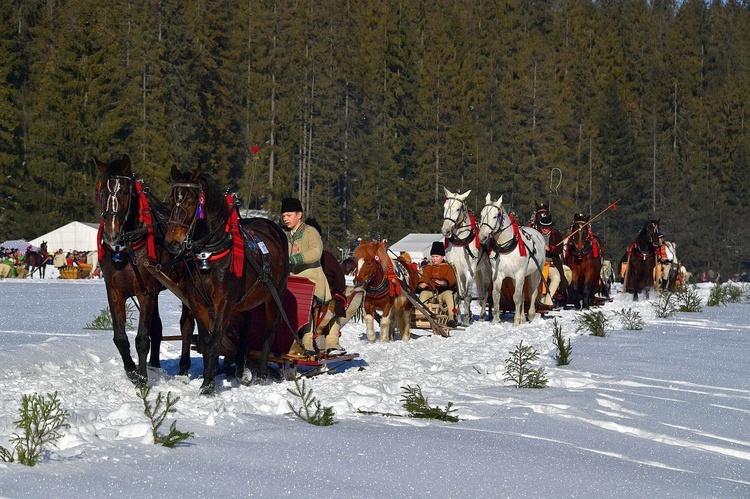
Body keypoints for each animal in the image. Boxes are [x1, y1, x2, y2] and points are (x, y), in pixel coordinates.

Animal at [94, 155, 194, 386]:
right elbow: (120, 337)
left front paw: (141, 377)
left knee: (187, 325)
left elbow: (142, 338)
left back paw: (183, 369)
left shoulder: (145, 291)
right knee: (157, 328)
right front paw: (132, 370)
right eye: (102, 192)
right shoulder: (115, 291)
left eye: (124, 191)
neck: (125, 249)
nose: (111, 234)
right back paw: (155, 365)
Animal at [166, 166, 290, 396]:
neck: (208, 255)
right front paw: (210, 376)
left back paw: (261, 375)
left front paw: (208, 386)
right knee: (246, 326)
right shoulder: (197, 302)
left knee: (268, 334)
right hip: (241, 303)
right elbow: (206, 342)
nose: (173, 242)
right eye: (171, 198)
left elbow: (215, 341)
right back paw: (240, 369)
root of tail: (274, 228)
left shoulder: (223, 302)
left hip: (273, 297)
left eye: (191, 201)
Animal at [440, 188, 494, 324]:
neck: (461, 242)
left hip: (485, 271)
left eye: (458, 209)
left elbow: (468, 295)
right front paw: (459, 318)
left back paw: (481, 316)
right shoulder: (456, 269)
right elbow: (459, 294)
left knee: (485, 293)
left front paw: (465, 320)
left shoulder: (470, 271)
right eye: (444, 207)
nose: (445, 230)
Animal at [482, 193, 548, 326]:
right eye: (482, 214)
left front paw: (516, 320)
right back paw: (523, 317)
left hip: (535, 273)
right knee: (523, 294)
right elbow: (496, 294)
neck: (505, 246)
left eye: (495, 216)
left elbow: (516, 297)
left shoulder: (520, 273)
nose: (482, 236)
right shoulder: (498, 274)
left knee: (532, 293)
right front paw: (496, 319)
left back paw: (530, 315)